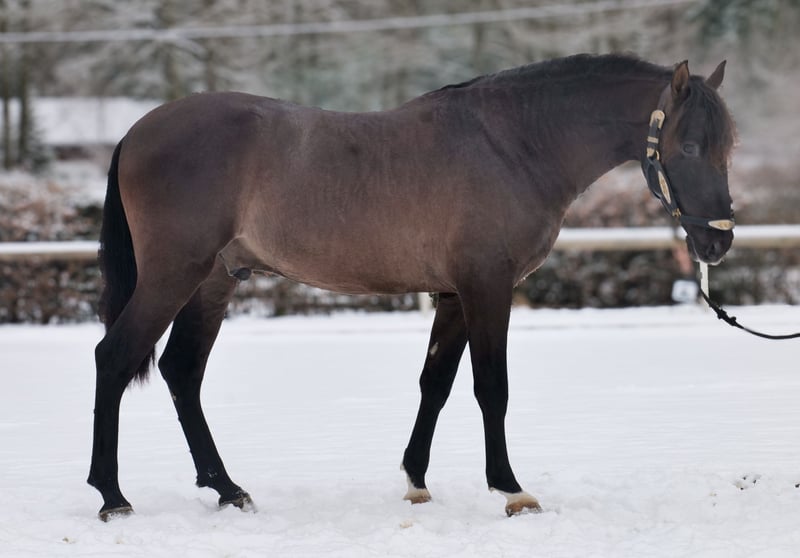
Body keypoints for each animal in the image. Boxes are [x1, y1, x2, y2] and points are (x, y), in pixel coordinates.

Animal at [88, 53, 736, 520]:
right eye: (689, 145)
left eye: (728, 146)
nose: (718, 242)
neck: (512, 143)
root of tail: (138, 131)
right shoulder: (486, 287)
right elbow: (490, 387)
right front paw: (511, 489)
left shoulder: (452, 294)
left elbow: (435, 384)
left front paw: (416, 481)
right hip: (175, 273)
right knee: (115, 357)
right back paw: (112, 496)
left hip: (213, 282)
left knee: (181, 372)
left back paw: (226, 488)